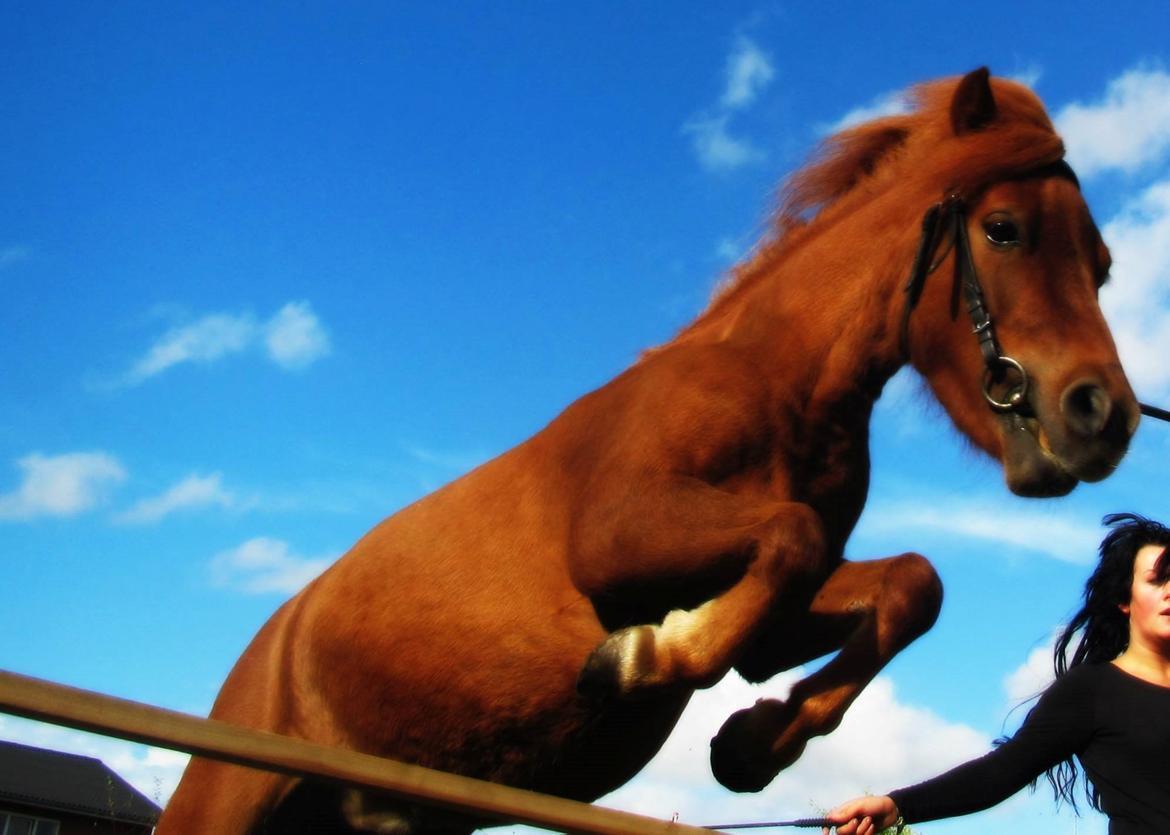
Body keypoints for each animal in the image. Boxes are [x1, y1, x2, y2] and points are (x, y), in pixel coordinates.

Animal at [155, 68, 1132, 827]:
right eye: (1004, 230)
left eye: (1105, 265)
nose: (1105, 415)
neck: (776, 387)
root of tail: (272, 639)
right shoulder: (622, 538)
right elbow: (791, 536)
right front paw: (645, 655)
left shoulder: (777, 619)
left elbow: (908, 586)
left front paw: (753, 741)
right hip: (224, 798)